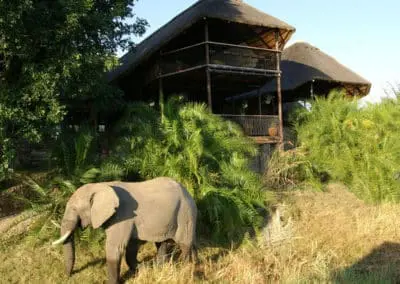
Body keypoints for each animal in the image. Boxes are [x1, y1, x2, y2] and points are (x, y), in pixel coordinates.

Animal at [51, 176, 198, 282]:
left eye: (74, 209)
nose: (67, 277)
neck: (101, 186)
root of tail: (187, 191)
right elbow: (130, 248)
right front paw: (141, 269)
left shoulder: (123, 217)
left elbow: (115, 248)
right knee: (162, 244)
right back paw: (160, 268)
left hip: (186, 213)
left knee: (184, 244)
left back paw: (186, 269)